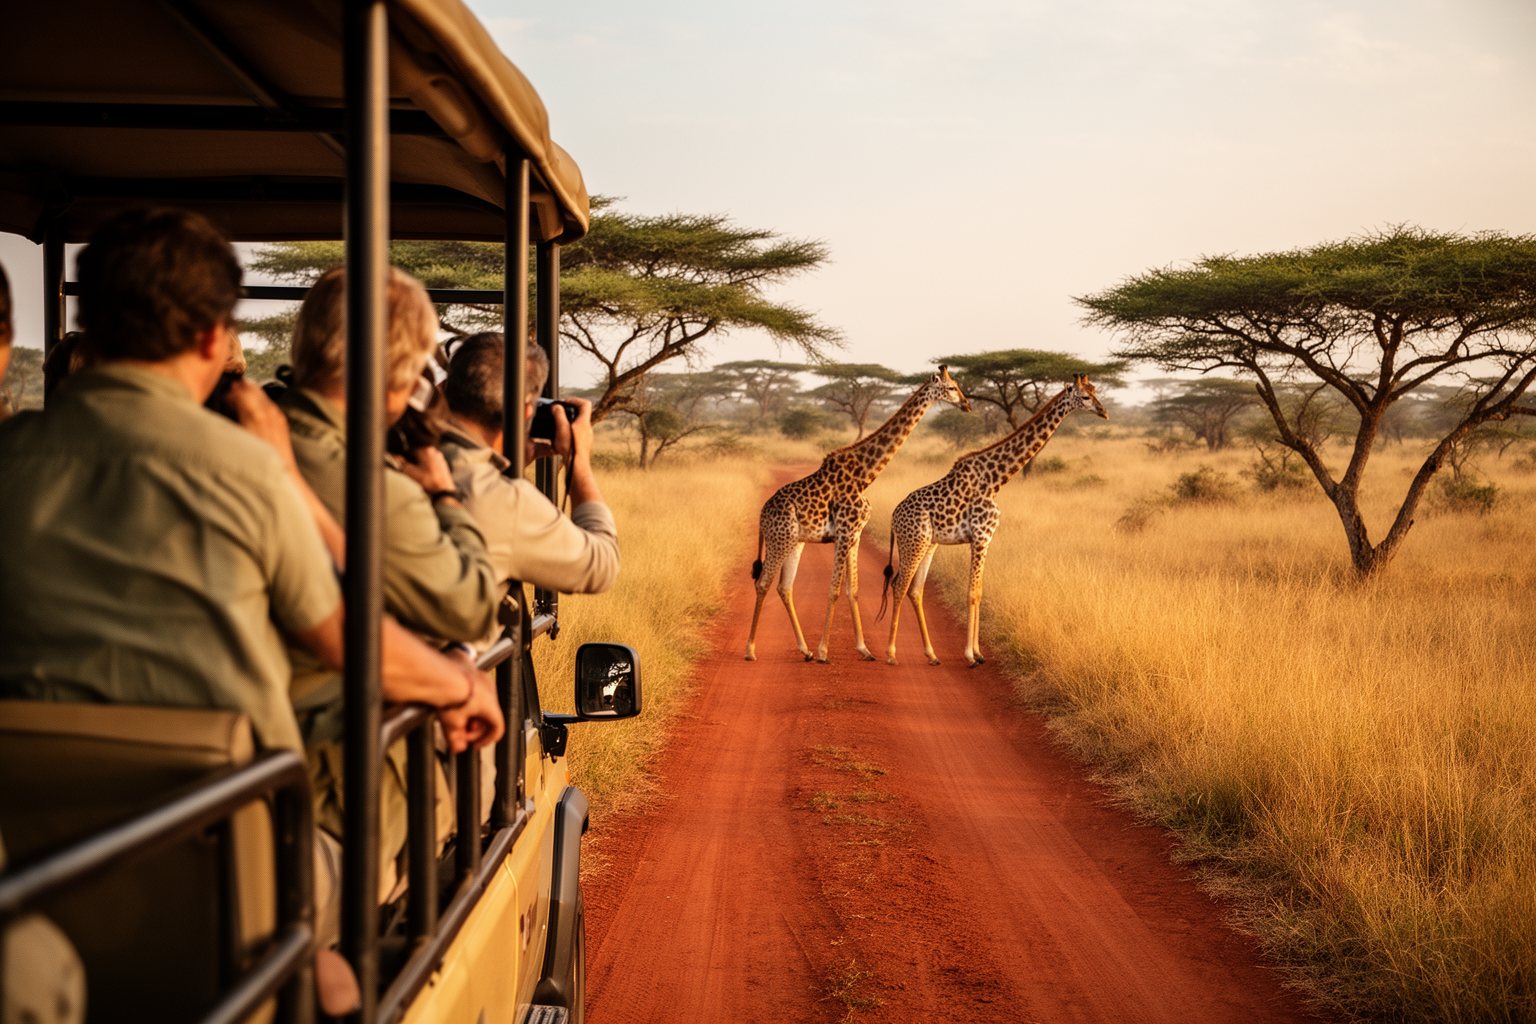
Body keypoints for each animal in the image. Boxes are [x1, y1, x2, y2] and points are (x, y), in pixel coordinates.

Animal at [745, 366, 971, 663]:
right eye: (952, 388)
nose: (967, 405)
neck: (865, 475)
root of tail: (762, 513)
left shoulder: (855, 535)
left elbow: (853, 590)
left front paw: (864, 649)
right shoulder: (843, 533)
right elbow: (834, 590)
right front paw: (824, 652)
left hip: (796, 541)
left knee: (784, 587)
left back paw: (804, 650)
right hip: (779, 539)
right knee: (762, 584)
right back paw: (751, 650)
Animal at [878, 374, 1107, 667]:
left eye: (1095, 390)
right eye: (1086, 396)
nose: (1104, 412)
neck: (995, 480)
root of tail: (893, 517)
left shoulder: (986, 540)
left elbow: (979, 591)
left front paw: (978, 652)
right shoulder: (980, 537)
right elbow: (971, 592)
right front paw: (970, 655)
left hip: (930, 544)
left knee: (915, 590)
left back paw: (931, 655)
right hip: (913, 542)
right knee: (900, 585)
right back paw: (891, 654)